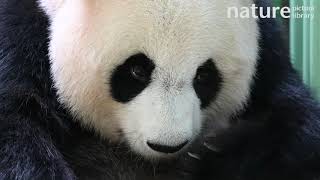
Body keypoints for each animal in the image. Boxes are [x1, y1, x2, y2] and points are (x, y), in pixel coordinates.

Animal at [0, 0, 318, 179]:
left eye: (204, 75)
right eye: (137, 70)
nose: (167, 146)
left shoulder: (267, 51)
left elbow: (297, 124)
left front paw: (215, 152)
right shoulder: (20, 37)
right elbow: (15, 134)